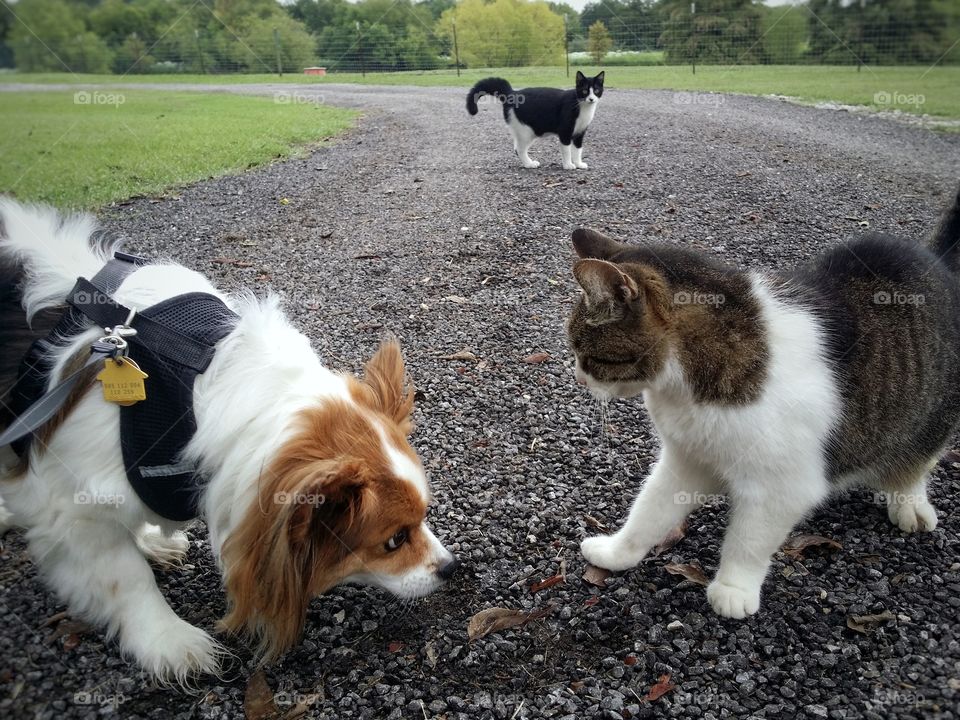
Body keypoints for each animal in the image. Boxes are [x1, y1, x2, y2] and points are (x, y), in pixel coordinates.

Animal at [0, 200, 460, 684]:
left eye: (424, 518)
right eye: (394, 540)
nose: (452, 568)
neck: (186, 391)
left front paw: (146, 543)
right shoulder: (68, 506)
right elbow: (125, 577)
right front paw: (168, 639)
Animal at [464, 71, 604, 171]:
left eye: (596, 90)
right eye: (585, 91)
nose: (591, 99)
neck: (582, 106)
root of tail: (512, 93)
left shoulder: (580, 132)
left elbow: (578, 149)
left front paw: (579, 163)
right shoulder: (565, 132)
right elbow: (567, 150)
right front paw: (568, 165)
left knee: (516, 147)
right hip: (526, 131)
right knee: (520, 149)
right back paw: (529, 164)